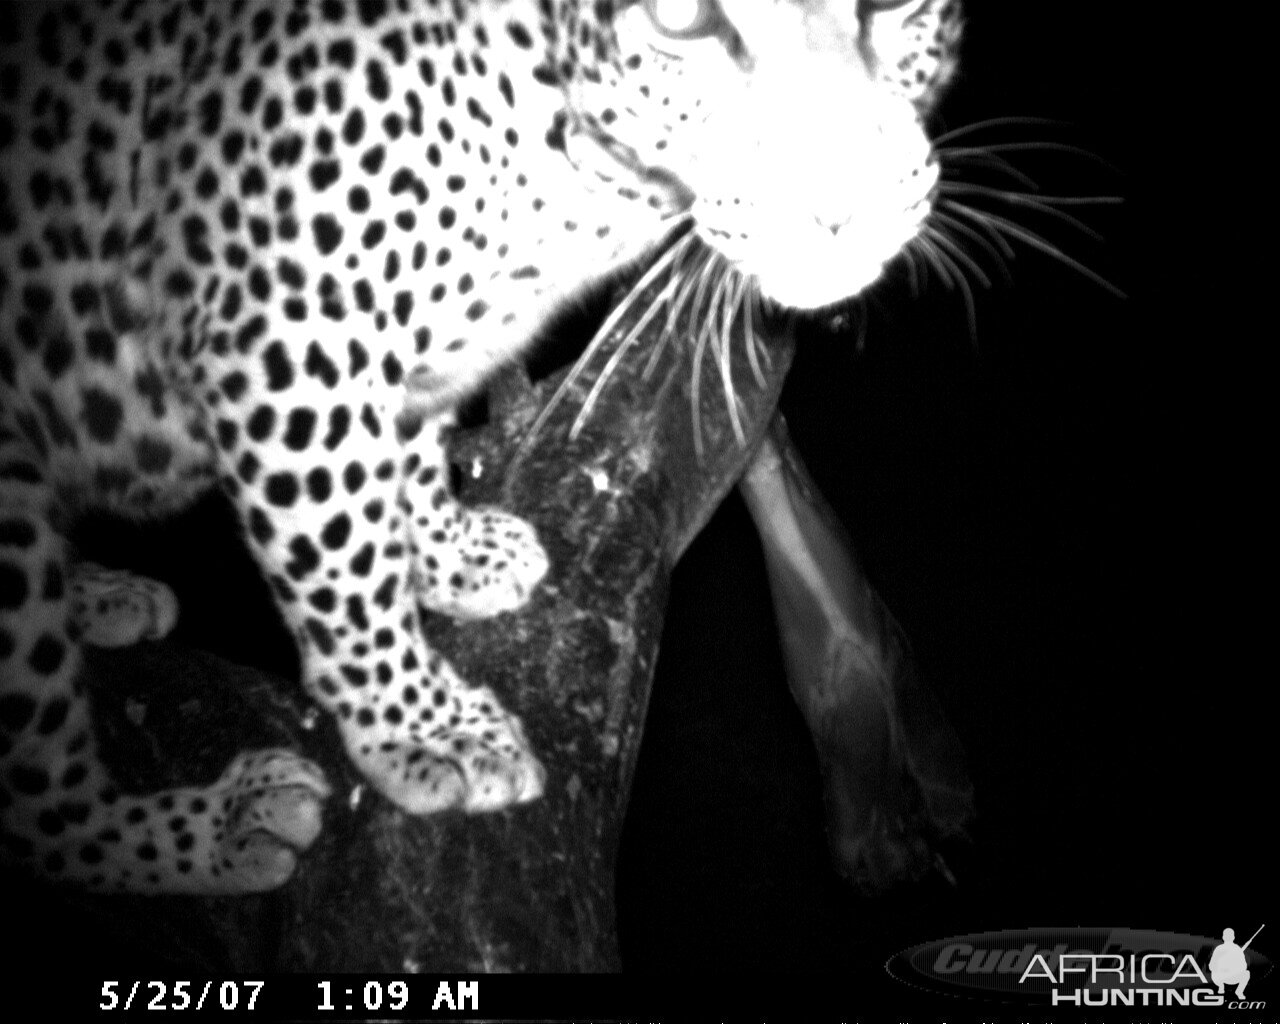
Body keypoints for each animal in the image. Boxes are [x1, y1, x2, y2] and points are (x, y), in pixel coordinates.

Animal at [0, 0, 962, 896]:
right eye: (684, 21)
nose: (846, 207)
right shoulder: (286, 342)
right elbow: (347, 564)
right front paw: (428, 729)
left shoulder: (411, 350)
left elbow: (408, 463)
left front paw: (455, 556)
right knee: (37, 802)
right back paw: (212, 827)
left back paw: (101, 594)